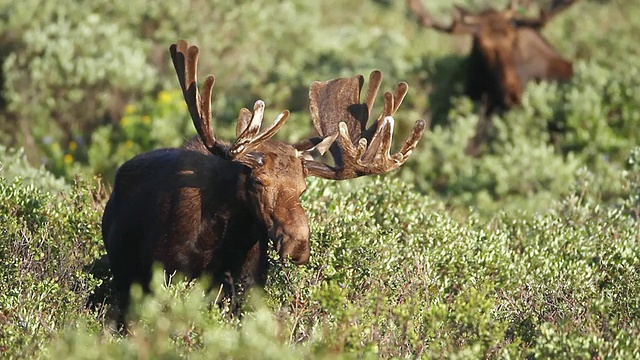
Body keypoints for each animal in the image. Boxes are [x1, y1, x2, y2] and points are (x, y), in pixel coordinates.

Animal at [102, 40, 428, 330]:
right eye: (258, 182)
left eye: (303, 188)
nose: (298, 244)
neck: (225, 240)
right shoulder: (166, 275)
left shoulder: (246, 288)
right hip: (125, 281)